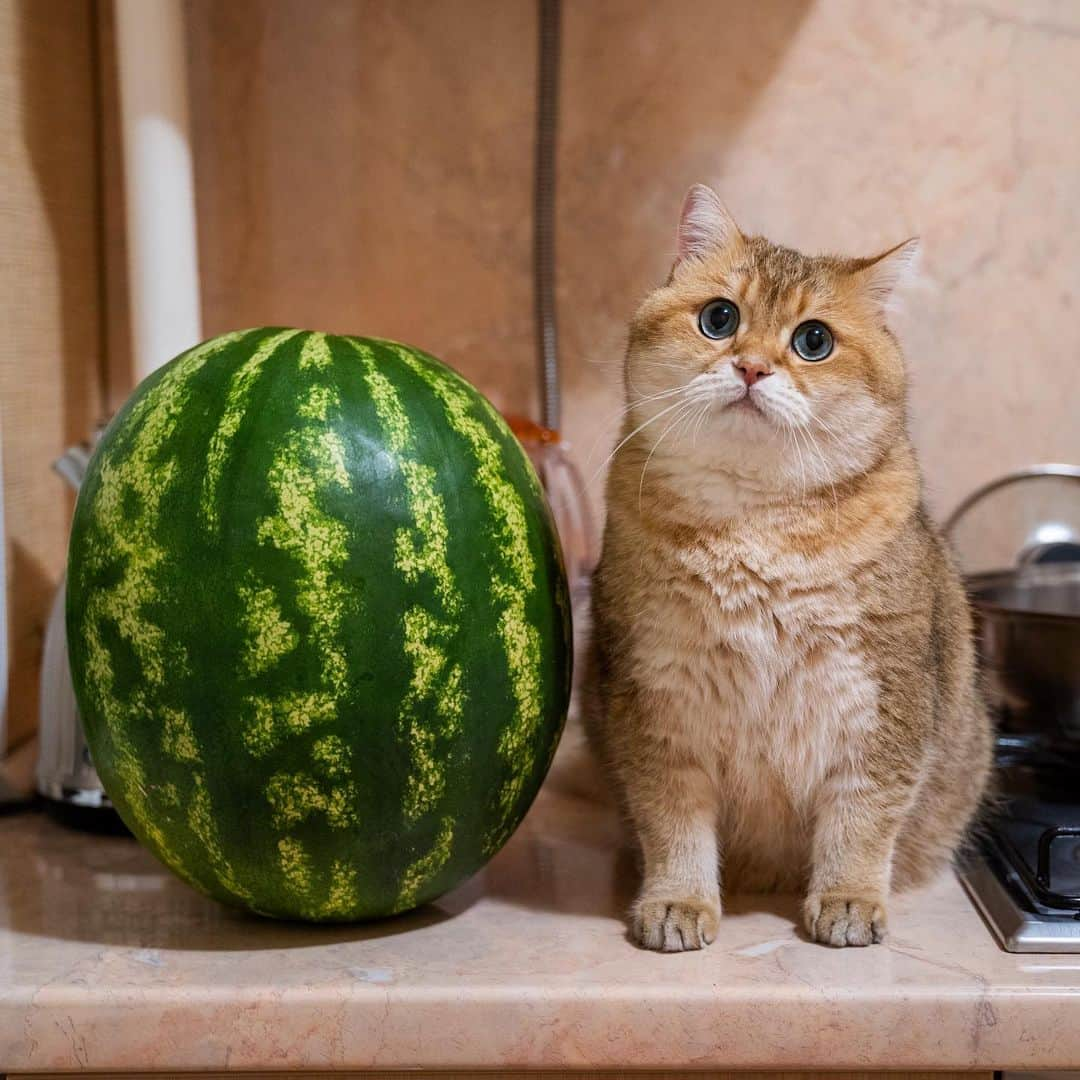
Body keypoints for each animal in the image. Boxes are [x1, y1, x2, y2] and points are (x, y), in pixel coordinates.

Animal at [587, 190, 989, 950]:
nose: (750, 368)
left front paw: (850, 900)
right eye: (720, 319)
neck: (755, 525)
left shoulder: (883, 700)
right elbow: (673, 820)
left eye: (813, 341)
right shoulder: (656, 700)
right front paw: (678, 902)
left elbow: (862, 817)